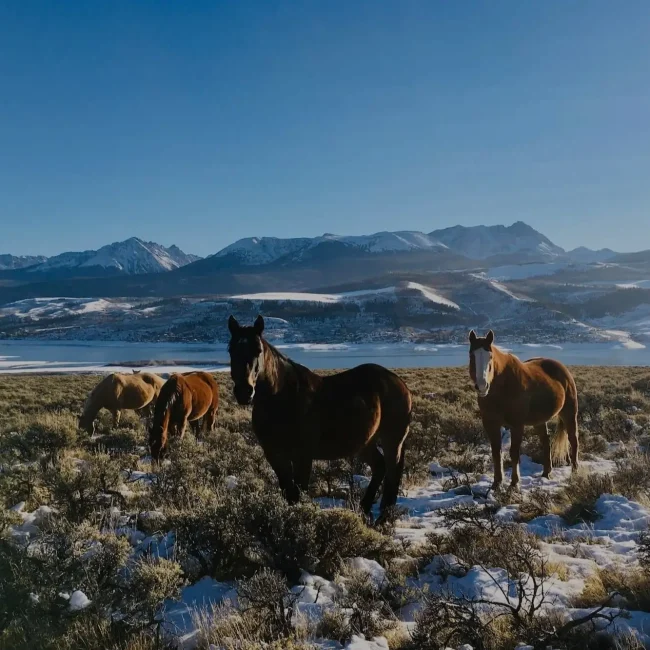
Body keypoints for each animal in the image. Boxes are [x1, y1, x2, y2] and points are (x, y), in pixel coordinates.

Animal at [227, 315, 412, 521]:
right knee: (380, 467)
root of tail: (399, 382)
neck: (282, 397)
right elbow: (287, 492)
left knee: (392, 472)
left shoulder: (303, 456)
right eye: (230, 350)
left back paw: (383, 517)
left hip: (392, 440)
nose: (244, 392)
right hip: (365, 443)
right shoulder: (274, 455)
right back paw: (364, 510)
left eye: (258, 350)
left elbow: (298, 493)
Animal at [468, 329, 579, 489]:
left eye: (490, 356)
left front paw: (514, 483)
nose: (482, 386)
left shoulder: (517, 425)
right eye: (472, 355)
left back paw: (575, 472)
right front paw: (496, 483)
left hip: (569, 413)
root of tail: (562, 368)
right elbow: (496, 452)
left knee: (573, 439)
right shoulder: (490, 424)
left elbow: (514, 452)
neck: (502, 386)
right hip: (540, 420)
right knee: (546, 441)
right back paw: (546, 473)